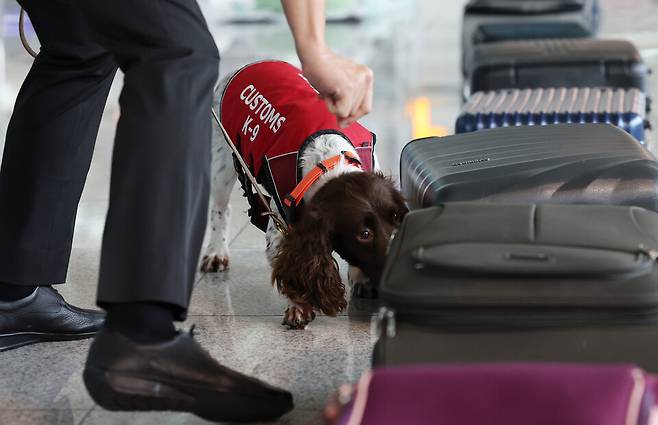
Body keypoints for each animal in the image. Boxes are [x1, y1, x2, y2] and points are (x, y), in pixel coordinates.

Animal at [200, 60, 404, 328]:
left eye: (397, 218)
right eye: (365, 234)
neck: (329, 163)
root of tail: (253, 62)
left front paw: (360, 278)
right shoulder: (280, 226)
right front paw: (299, 307)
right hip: (222, 161)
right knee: (220, 208)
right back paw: (216, 252)